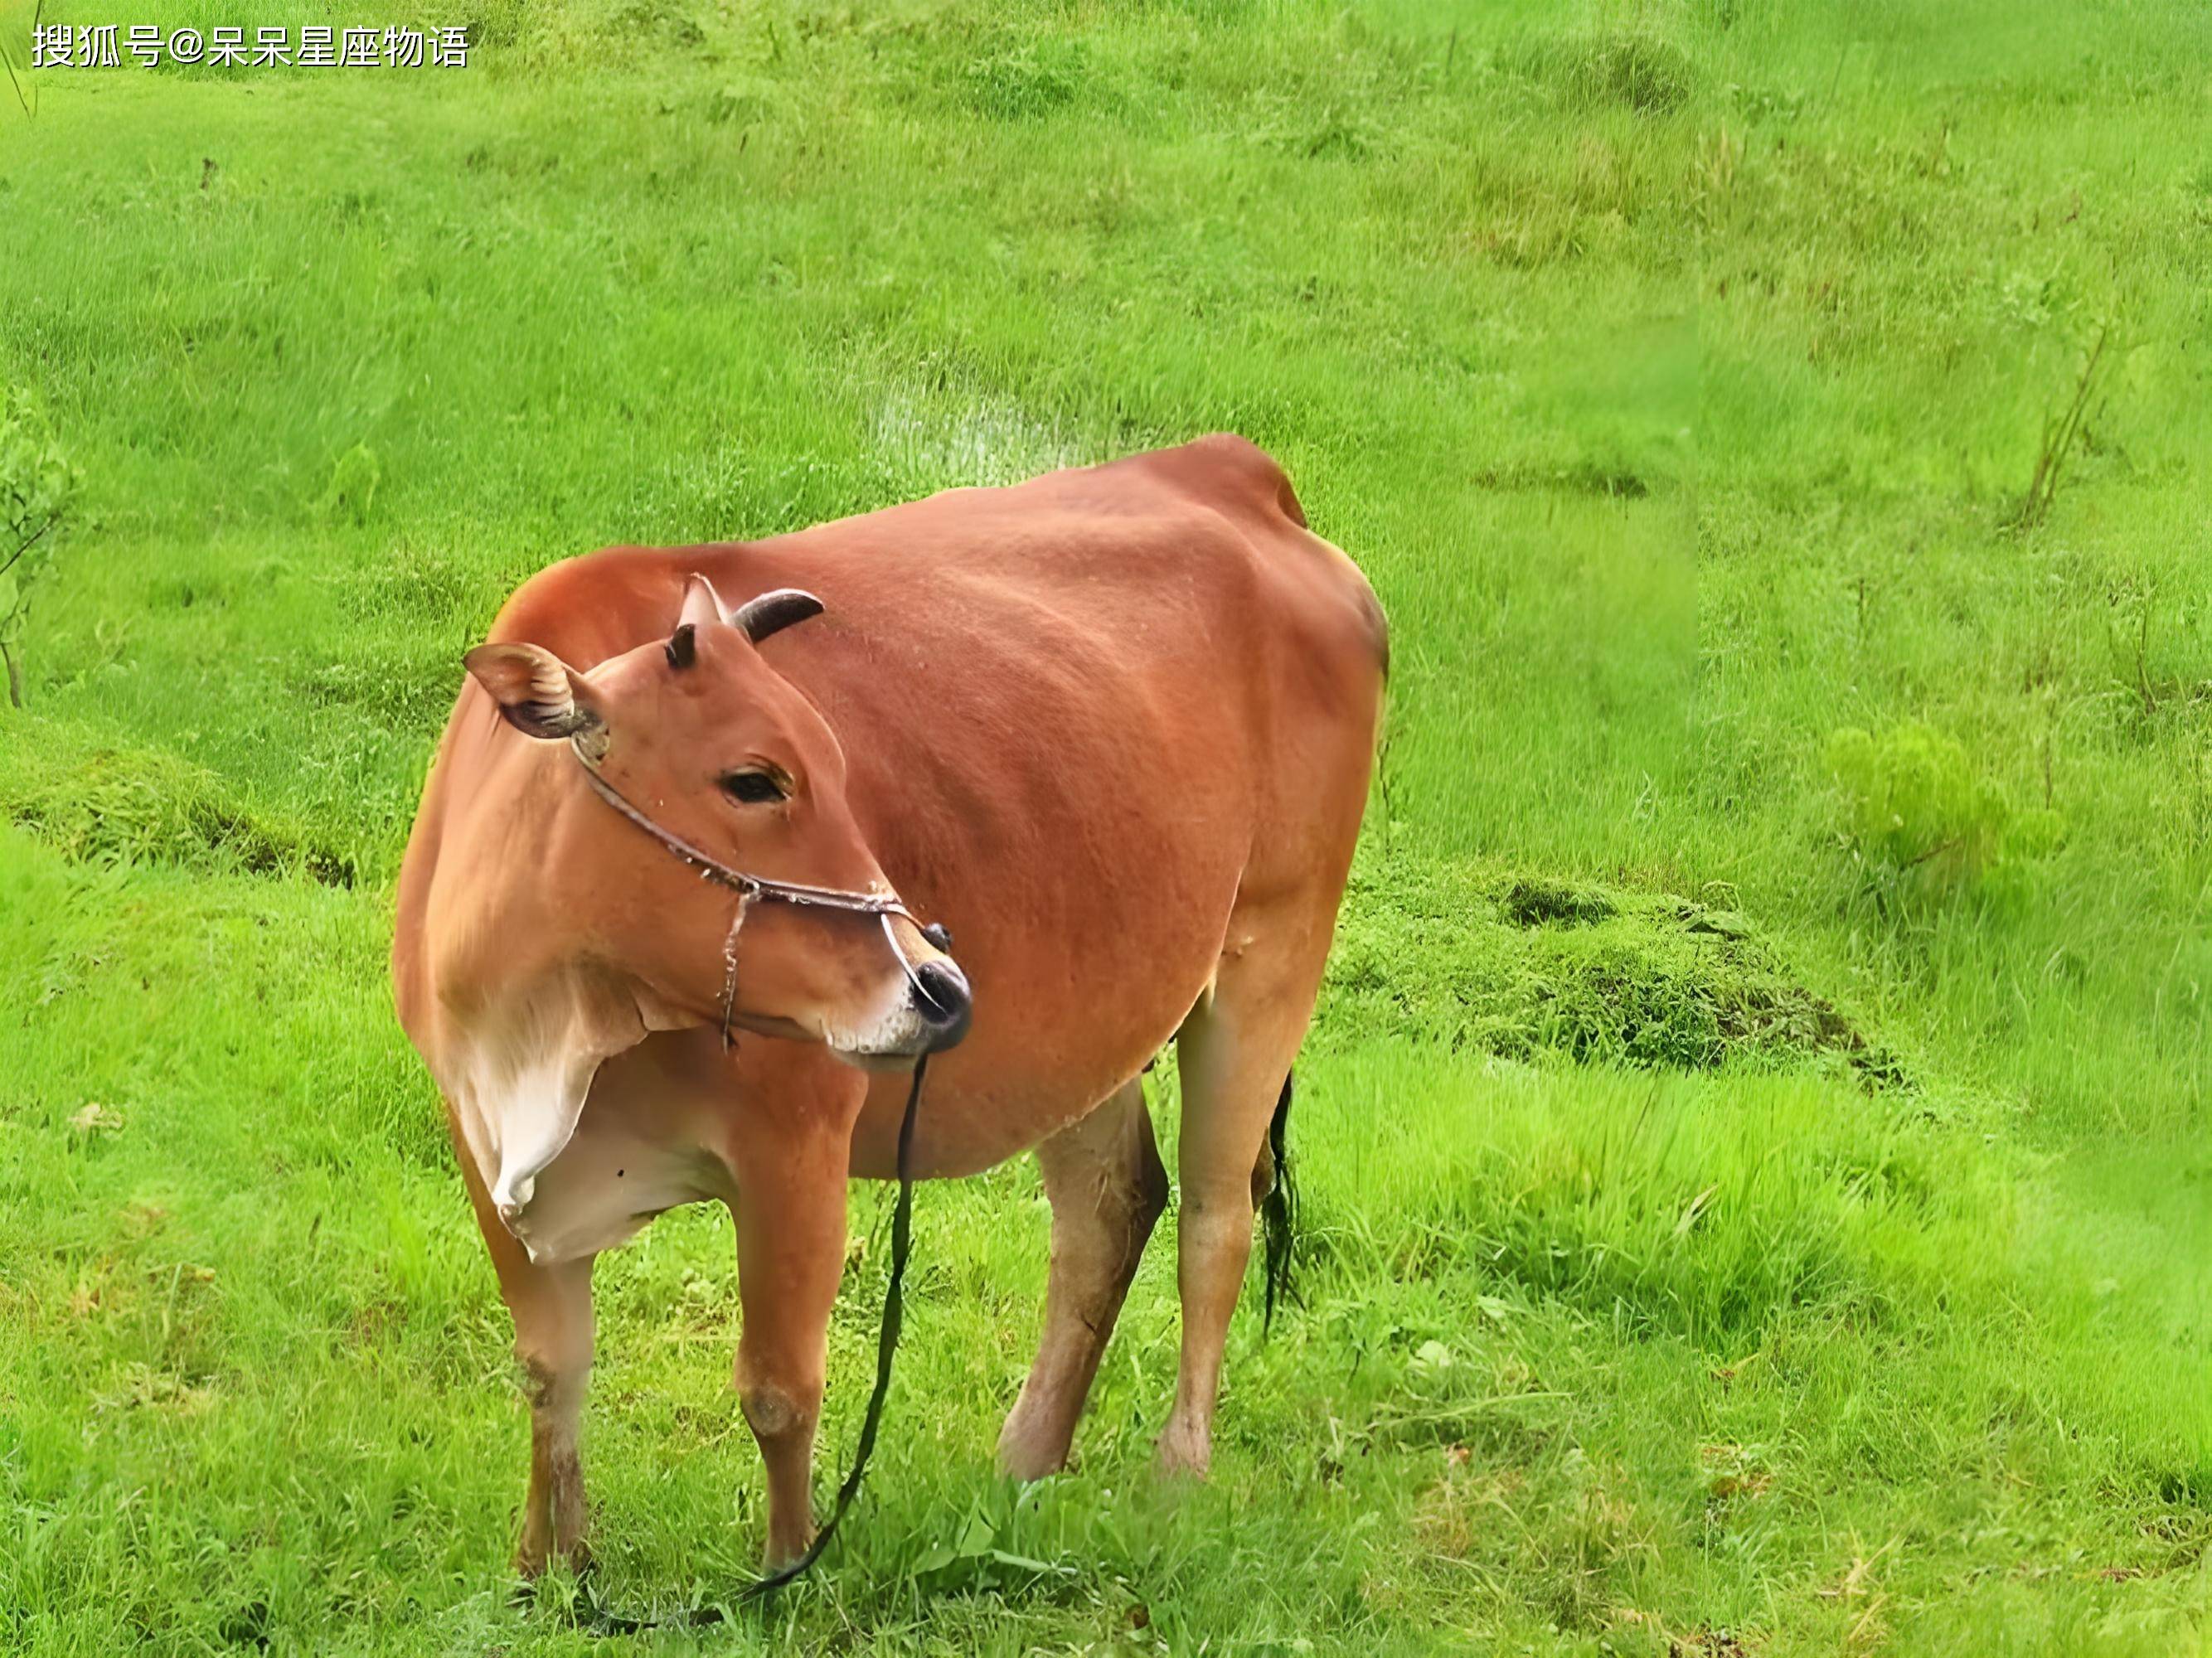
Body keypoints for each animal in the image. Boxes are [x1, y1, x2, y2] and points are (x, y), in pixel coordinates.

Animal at [385, 435, 1380, 1573]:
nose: (937, 983)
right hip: (1093, 1023)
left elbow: (778, 1389)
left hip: (1271, 954)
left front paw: (786, 1568)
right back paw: (1024, 1459)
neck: (557, 1034)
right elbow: (551, 1370)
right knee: (1111, 1203)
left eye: (839, 764)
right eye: (754, 778)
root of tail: (1238, 473)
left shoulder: (795, 1148)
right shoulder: (482, 1140)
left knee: (1217, 1218)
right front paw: (548, 1567)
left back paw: (1177, 1475)